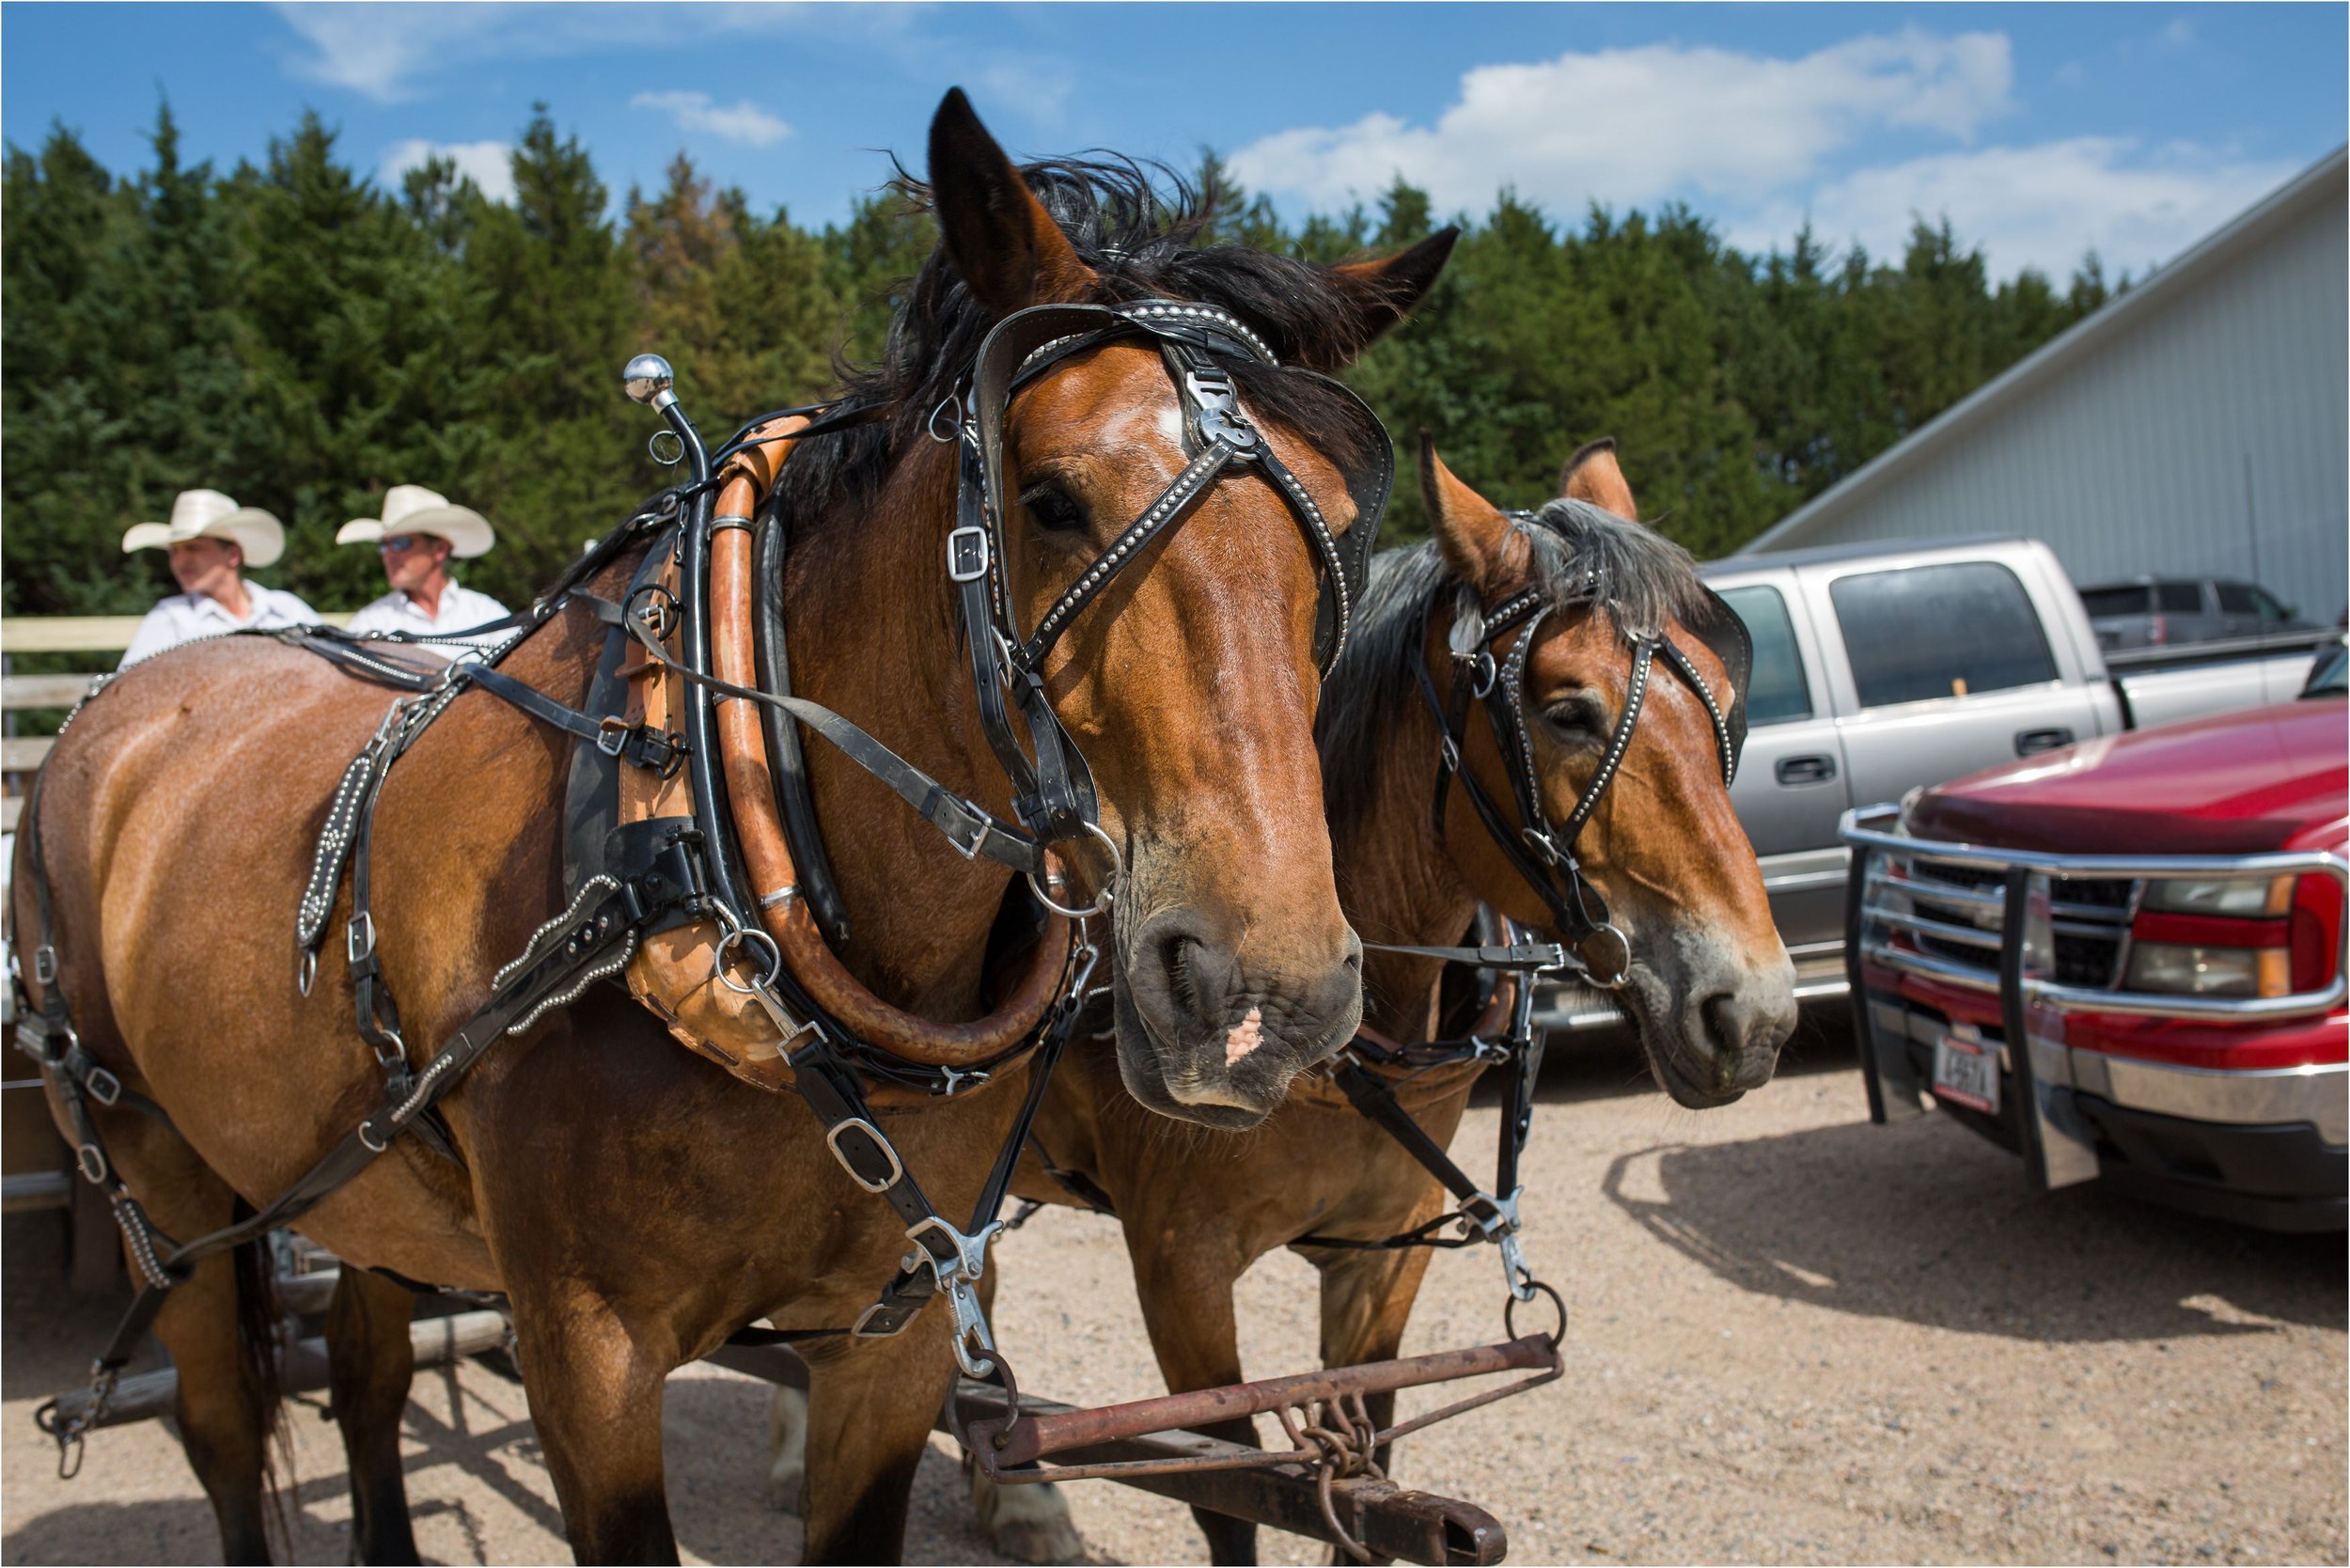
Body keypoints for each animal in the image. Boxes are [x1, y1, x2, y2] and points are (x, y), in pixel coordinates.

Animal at [13, 88, 1448, 1568]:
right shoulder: (583, 1350)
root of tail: (114, 706)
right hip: (158, 1174)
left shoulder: (894, 1329)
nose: (1263, 992)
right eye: (1050, 497)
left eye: (1345, 528)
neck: (705, 855)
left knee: (365, 1365)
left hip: (356, 1180)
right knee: (225, 1418)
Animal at [902, 434, 1795, 1560]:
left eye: (1728, 701)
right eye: (1566, 710)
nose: (1752, 1012)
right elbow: (1233, 1491)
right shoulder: (1181, 1269)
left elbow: (1367, 1465)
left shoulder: (1381, 1255)